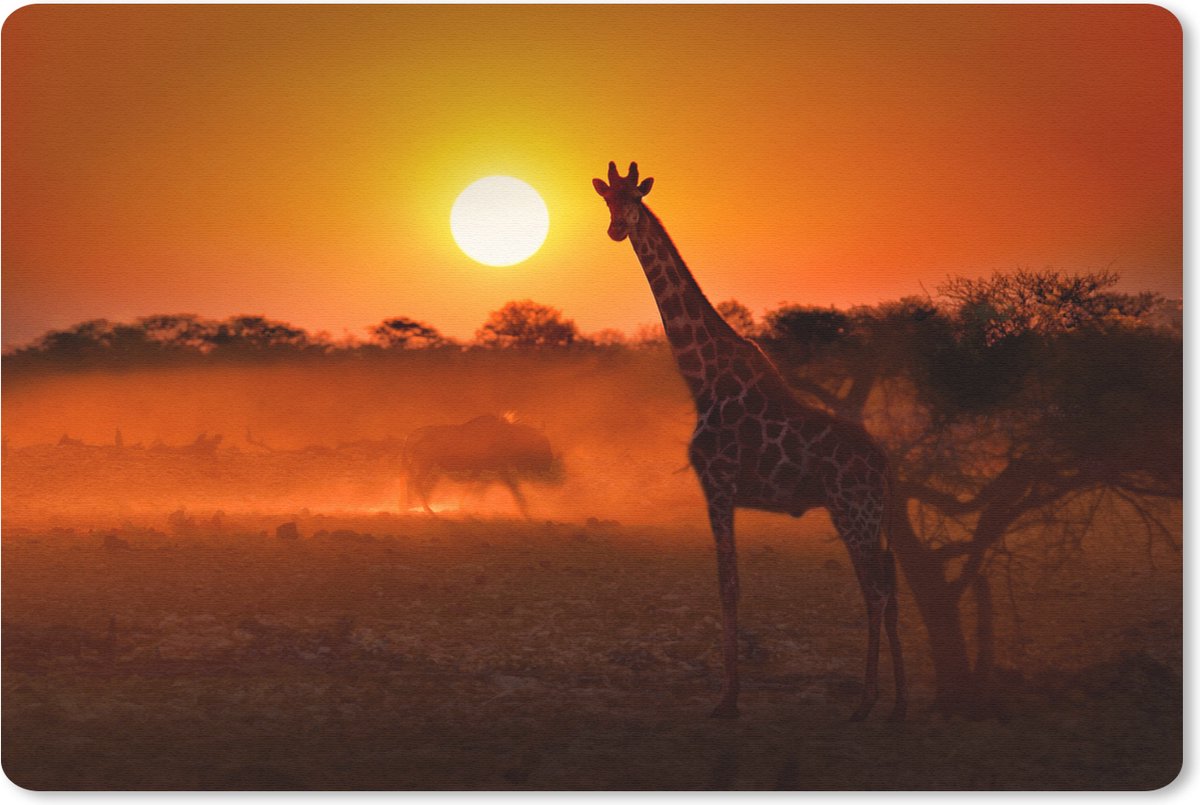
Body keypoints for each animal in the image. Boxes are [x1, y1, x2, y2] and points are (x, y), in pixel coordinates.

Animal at [593, 162, 906, 721]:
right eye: (608, 199)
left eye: (635, 198)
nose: (616, 229)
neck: (702, 379)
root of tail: (885, 466)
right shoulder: (723, 490)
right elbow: (730, 583)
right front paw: (730, 693)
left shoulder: (716, 483)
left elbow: (728, 584)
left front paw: (728, 698)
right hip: (867, 515)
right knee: (889, 587)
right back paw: (899, 704)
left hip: (854, 511)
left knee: (875, 590)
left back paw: (867, 703)